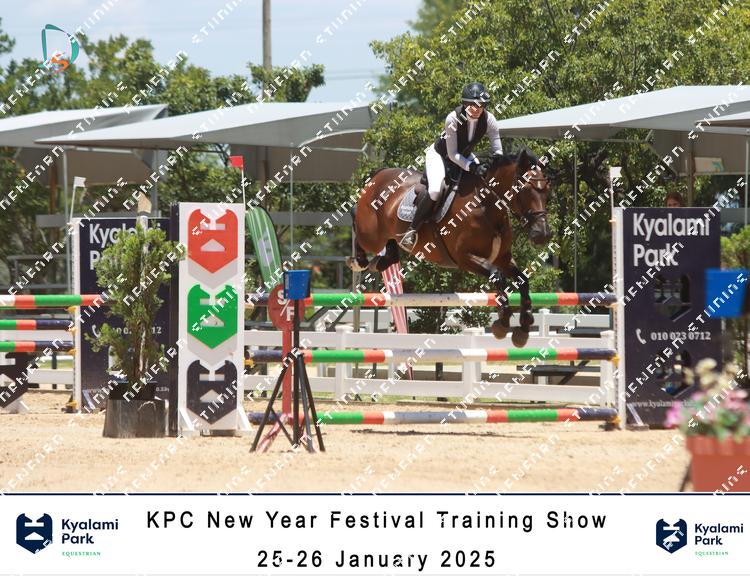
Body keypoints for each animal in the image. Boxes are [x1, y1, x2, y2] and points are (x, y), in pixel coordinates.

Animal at [348, 149, 553, 347]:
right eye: (525, 190)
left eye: (547, 193)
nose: (542, 234)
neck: (486, 206)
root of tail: (380, 174)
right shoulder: (465, 258)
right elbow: (498, 277)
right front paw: (502, 323)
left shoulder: (502, 258)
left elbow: (522, 280)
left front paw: (524, 327)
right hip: (371, 235)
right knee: (355, 218)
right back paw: (358, 261)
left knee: (390, 247)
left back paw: (382, 260)